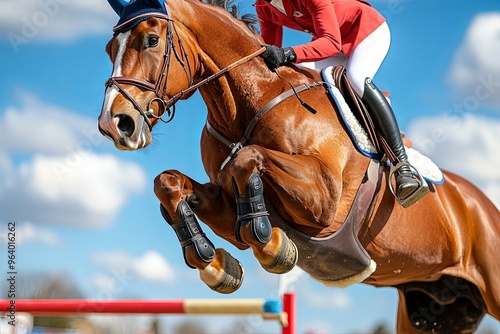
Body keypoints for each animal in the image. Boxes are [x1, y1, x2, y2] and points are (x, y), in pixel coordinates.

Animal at [98, 0, 500, 330]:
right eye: (108, 49)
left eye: (151, 40)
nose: (114, 124)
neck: (250, 103)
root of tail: (483, 204)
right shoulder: (226, 208)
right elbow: (168, 182)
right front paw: (214, 263)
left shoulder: (324, 204)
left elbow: (245, 160)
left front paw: (272, 247)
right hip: (435, 308)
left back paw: (407, 180)